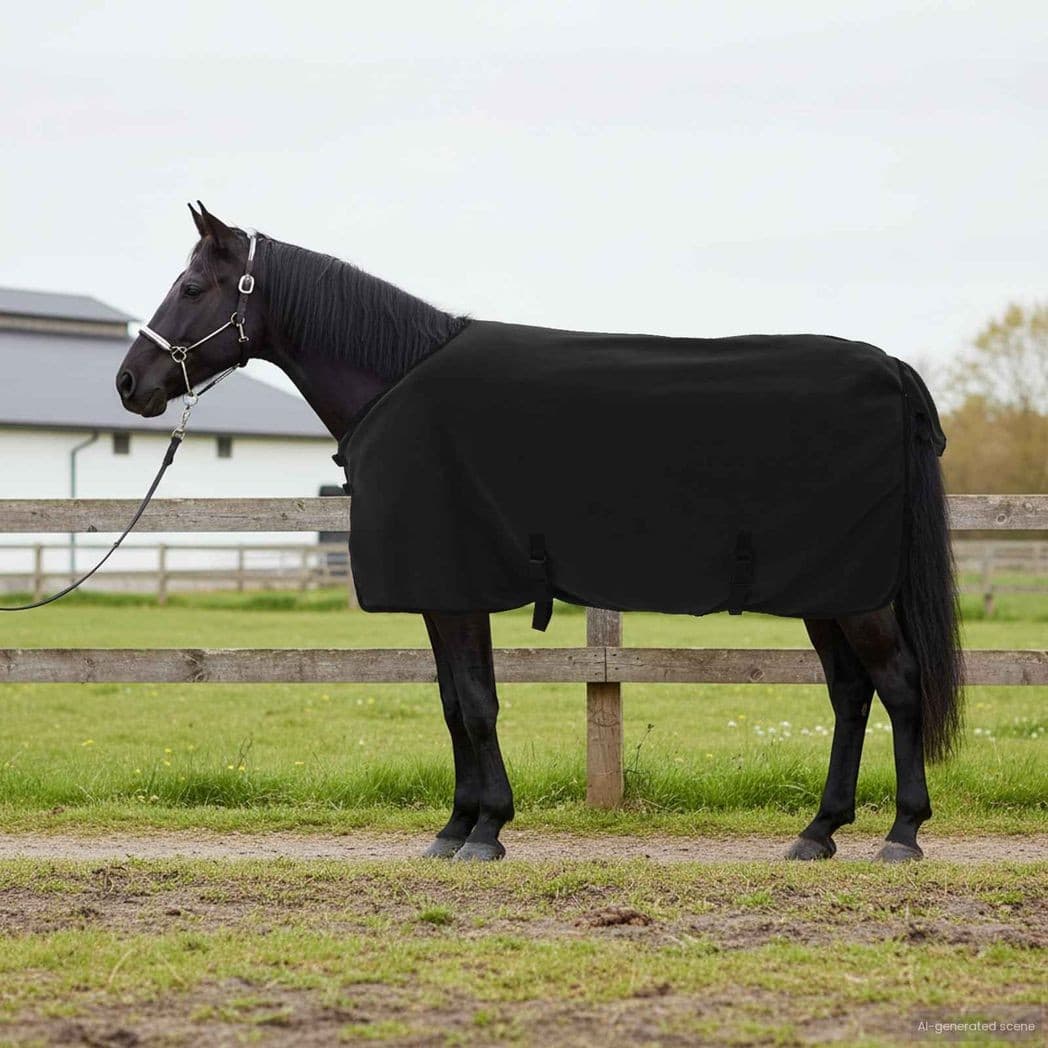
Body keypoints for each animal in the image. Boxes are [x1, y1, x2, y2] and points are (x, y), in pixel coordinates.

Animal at [115, 203, 963, 863]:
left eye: (191, 287)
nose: (130, 383)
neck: (396, 382)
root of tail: (891, 369)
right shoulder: (444, 594)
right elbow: (455, 703)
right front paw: (457, 826)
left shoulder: (456, 590)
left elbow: (476, 704)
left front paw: (485, 830)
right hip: (828, 591)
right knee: (850, 693)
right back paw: (819, 832)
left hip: (857, 596)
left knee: (899, 684)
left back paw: (902, 833)